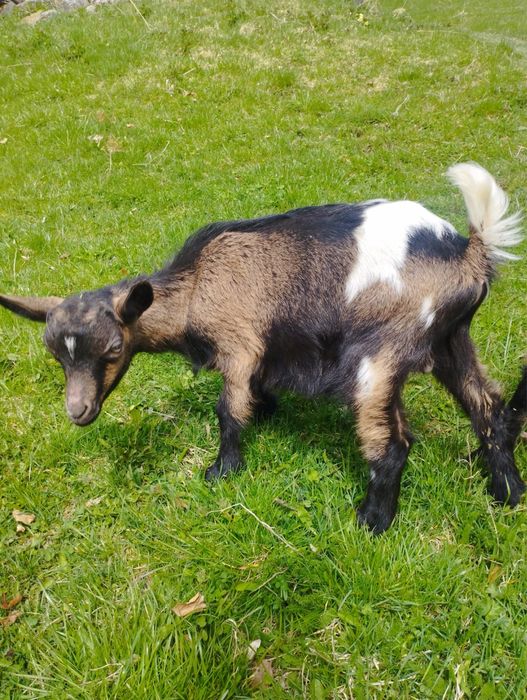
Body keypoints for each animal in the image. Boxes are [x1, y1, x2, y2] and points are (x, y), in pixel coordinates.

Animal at [1, 163, 525, 532]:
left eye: (112, 350)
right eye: (56, 354)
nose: (78, 411)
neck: (196, 286)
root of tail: (469, 253)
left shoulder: (240, 342)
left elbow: (228, 409)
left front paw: (221, 471)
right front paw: (266, 411)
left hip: (382, 352)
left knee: (395, 444)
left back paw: (372, 522)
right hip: (451, 339)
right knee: (489, 409)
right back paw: (508, 492)